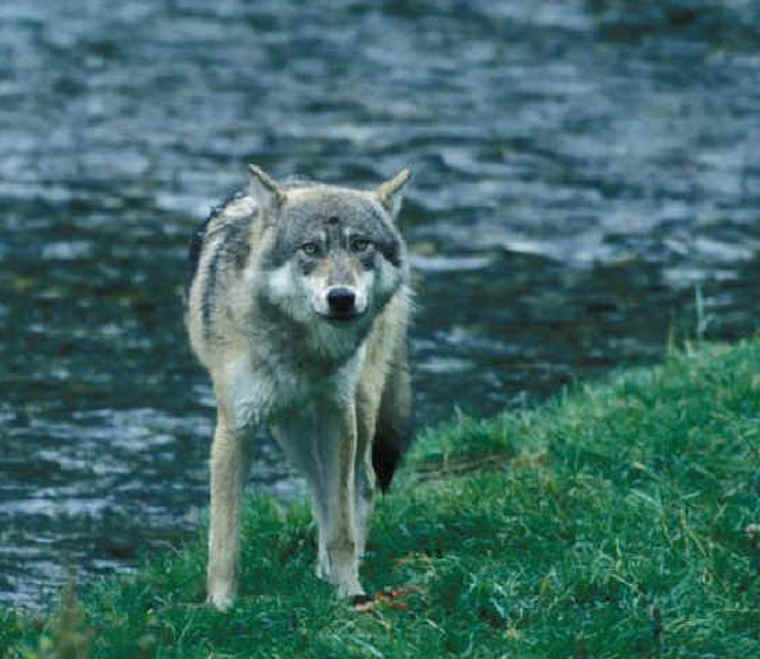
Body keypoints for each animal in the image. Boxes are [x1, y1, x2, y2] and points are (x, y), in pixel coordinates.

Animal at [185, 164, 413, 610]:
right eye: (310, 248)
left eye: (360, 244)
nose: (341, 298)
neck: (303, 351)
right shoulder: (235, 429)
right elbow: (224, 539)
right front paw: (219, 607)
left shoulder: (338, 413)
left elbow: (342, 525)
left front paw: (350, 591)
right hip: (289, 431)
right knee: (318, 486)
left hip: (358, 412)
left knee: (359, 485)